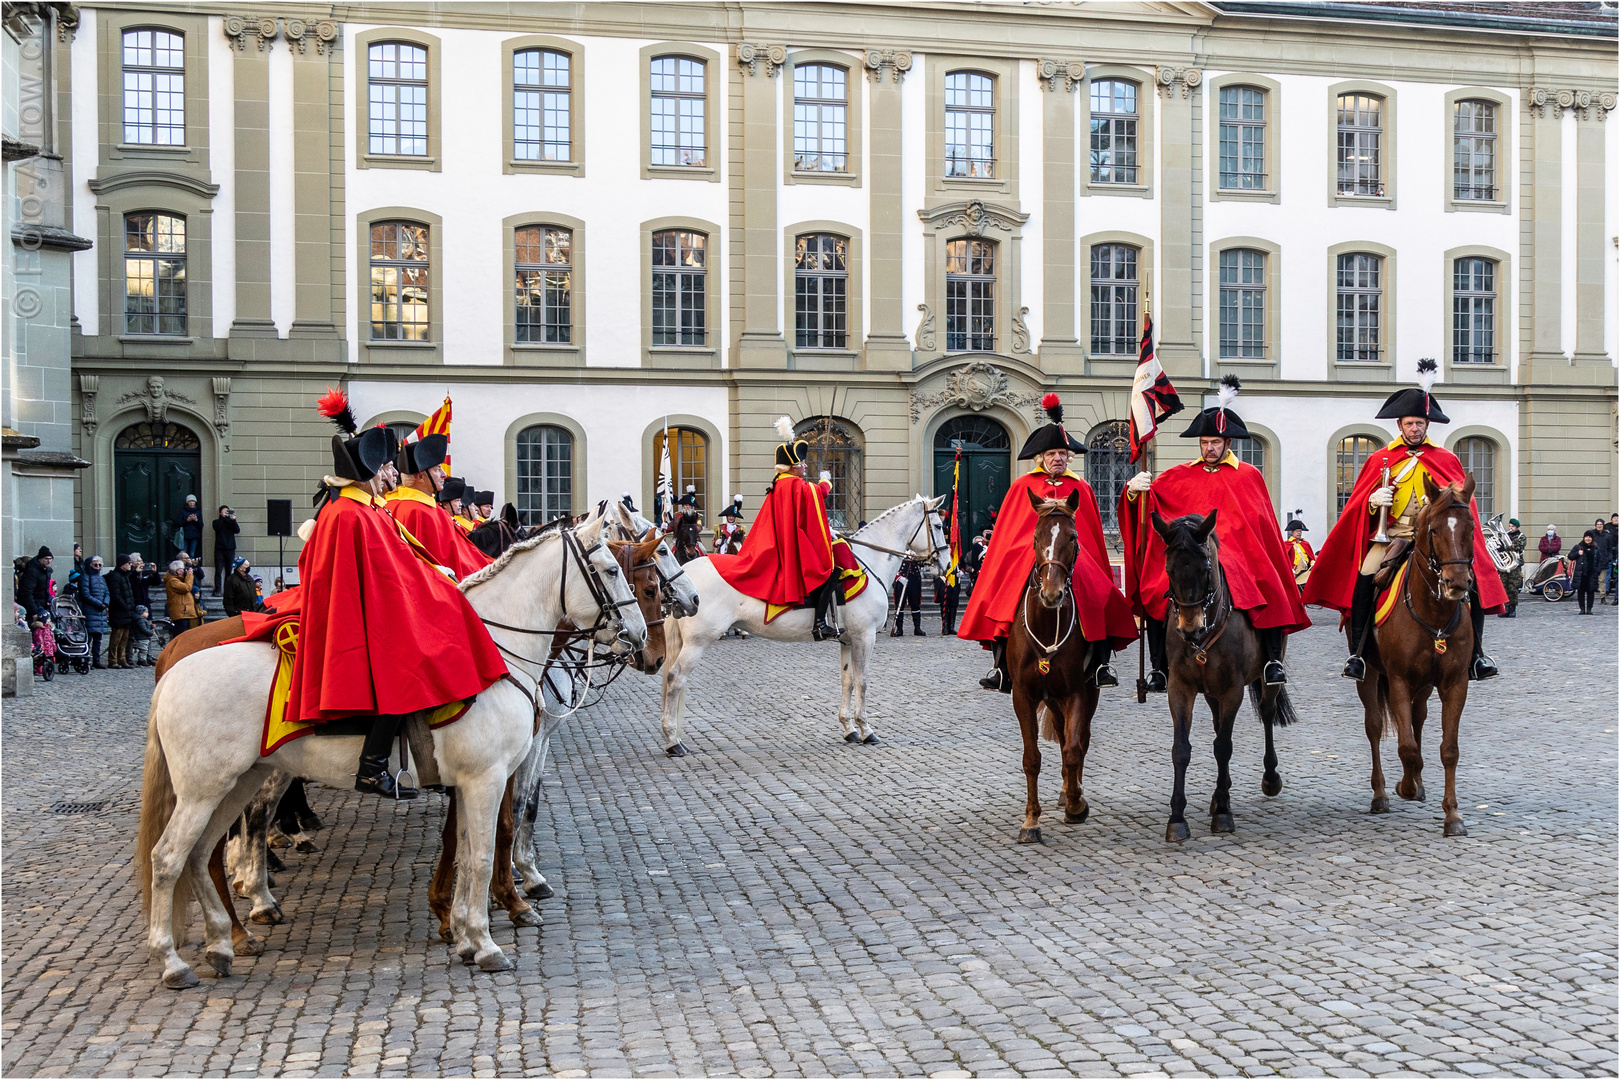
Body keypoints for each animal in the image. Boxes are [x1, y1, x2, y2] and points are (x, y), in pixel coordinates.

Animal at [132, 505, 648, 990]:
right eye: (610, 570)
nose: (641, 636)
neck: (496, 651)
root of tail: (174, 669)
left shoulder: (472, 781)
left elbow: (465, 852)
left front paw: (464, 933)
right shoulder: (487, 777)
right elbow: (481, 855)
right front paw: (485, 941)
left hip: (239, 781)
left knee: (202, 853)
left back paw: (222, 941)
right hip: (204, 790)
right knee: (169, 857)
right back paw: (175, 958)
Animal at [654, 495, 946, 757]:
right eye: (938, 525)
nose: (945, 566)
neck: (868, 563)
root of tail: (685, 575)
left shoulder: (848, 639)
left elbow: (848, 681)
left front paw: (849, 728)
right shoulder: (865, 637)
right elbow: (862, 681)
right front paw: (866, 729)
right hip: (697, 643)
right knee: (675, 679)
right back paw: (672, 740)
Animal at [1004, 488, 1108, 841]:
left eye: (1073, 537)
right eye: (1036, 536)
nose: (1052, 594)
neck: (1049, 623)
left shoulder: (1077, 691)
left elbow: (1074, 749)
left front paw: (1077, 805)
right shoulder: (1023, 695)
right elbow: (1032, 758)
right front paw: (1030, 821)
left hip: (1085, 692)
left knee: (1077, 740)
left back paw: (1070, 792)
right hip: (1052, 698)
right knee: (1062, 735)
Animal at [1153, 508, 1302, 841]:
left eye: (1206, 567)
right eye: (1168, 569)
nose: (1190, 629)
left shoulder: (1232, 689)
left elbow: (1223, 746)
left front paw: (1223, 811)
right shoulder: (1180, 689)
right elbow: (1181, 749)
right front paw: (1177, 818)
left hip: (1265, 678)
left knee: (1266, 712)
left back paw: (1268, 778)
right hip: (1210, 692)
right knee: (1218, 723)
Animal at [1354, 472, 1483, 835]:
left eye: (1470, 527)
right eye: (1435, 530)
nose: (1457, 584)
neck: (1434, 613)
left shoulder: (1455, 684)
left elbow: (1448, 749)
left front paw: (1452, 815)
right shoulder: (1397, 680)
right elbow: (1407, 747)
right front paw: (1406, 787)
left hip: (1424, 685)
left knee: (1418, 717)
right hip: (1370, 675)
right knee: (1374, 727)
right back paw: (1381, 793)